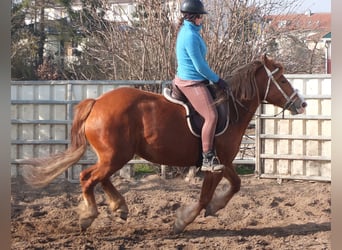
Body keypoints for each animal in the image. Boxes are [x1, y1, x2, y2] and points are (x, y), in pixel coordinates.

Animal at [22, 53, 308, 234]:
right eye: (283, 80)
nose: (302, 103)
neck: (230, 108)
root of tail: (97, 103)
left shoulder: (224, 162)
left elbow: (236, 185)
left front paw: (214, 207)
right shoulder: (214, 164)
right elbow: (204, 197)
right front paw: (183, 221)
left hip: (115, 156)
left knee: (100, 178)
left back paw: (119, 206)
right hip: (115, 156)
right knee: (88, 177)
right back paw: (89, 215)